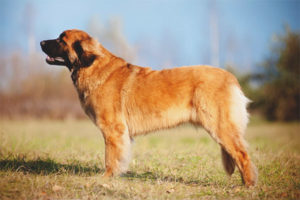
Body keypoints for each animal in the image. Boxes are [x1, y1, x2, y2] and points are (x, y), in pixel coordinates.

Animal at [40, 29, 258, 186]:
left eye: (61, 40)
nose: (41, 42)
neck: (92, 65)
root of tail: (230, 78)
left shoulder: (113, 129)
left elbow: (111, 158)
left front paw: (106, 178)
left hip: (220, 126)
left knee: (242, 154)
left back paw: (248, 185)